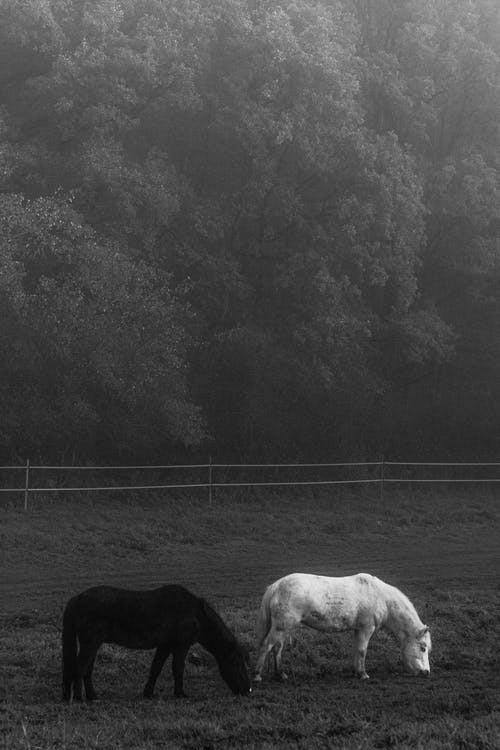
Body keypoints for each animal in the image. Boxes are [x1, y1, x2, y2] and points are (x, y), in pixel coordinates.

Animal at [61, 584, 250, 704]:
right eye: (237, 663)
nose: (248, 690)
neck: (196, 613)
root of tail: (76, 599)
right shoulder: (181, 645)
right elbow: (178, 668)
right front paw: (180, 693)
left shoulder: (166, 645)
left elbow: (156, 668)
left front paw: (148, 693)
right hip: (90, 643)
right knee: (80, 667)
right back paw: (78, 697)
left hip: (93, 644)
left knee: (87, 670)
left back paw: (92, 696)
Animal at [254, 572, 430, 684]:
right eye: (423, 648)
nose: (426, 672)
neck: (381, 597)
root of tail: (275, 587)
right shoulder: (366, 629)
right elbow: (362, 651)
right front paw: (363, 674)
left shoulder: (358, 630)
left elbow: (356, 650)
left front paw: (356, 671)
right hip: (281, 627)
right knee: (266, 646)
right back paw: (257, 676)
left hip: (284, 628)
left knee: (277, 648)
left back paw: (280, 674)